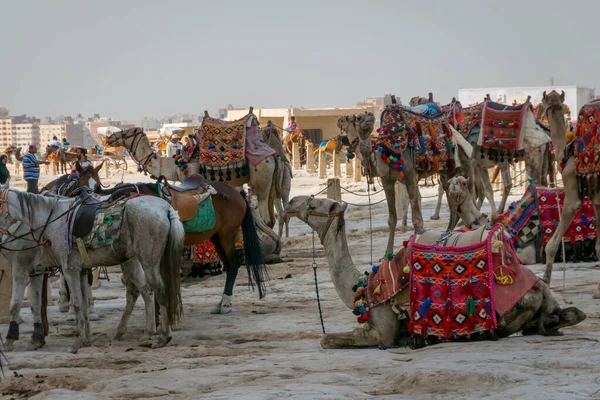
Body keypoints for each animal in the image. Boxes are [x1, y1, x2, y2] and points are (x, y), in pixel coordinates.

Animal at [286, 195, 584, 348]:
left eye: (314, 203)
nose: (290, 202)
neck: (365, 286)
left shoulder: (383, 329)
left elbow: (326, 339)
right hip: (546, 299)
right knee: (570, 314)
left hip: (514, 299)